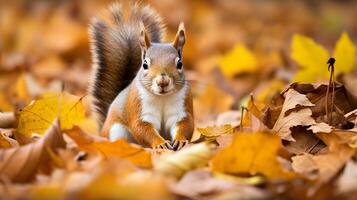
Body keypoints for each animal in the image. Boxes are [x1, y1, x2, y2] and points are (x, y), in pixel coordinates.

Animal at [88, 3, 193, 150]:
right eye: (144, 64)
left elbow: (186, 125)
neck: (162, 98)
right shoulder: (138, 107)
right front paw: (160, 144)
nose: (163, 82)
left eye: (180, 63)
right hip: (116, 130)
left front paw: (181, 141)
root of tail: (102, 131)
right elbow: (142, 129)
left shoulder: (181, 110)